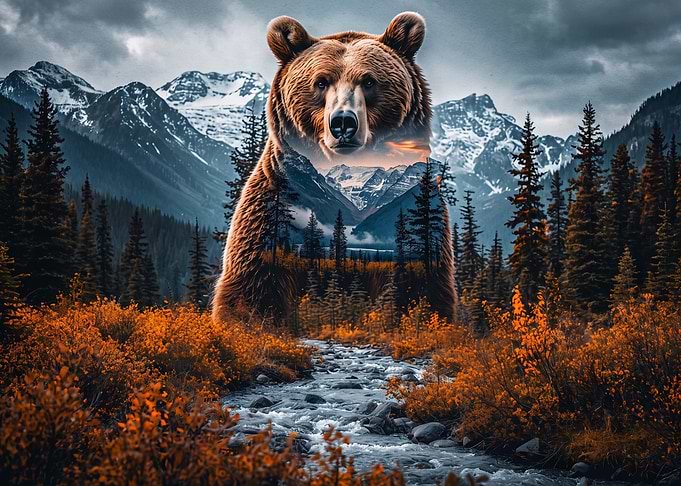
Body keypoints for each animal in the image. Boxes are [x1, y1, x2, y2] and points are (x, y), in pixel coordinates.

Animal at [212, 12, 458, 323]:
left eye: (369, 81)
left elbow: (424, 288)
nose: (343, 122)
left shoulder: (424, 226)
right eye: (320, 82)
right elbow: (252, 286)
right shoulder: (270, 208)